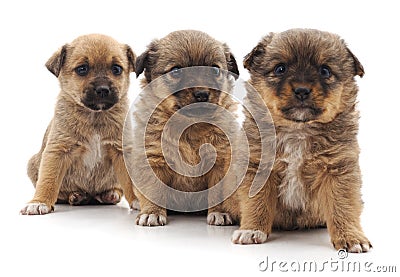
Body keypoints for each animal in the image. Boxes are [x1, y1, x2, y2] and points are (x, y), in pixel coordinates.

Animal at [20, 33, 138, 213]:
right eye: (82, 69)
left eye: (116, 69)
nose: (103, 90)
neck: (95, 116)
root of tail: (91, 196)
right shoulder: (58, 151)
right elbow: (48, 180)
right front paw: (39, 202)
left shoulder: (121, 150)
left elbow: (130, 181)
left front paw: (139, 200)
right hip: (33, 164)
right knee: (62, 192)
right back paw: (75, 195)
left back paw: (109, 194)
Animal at [130, 29, 241, 224]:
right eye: (176, 70)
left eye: (215, 69)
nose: (202, 94)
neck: (189, 127)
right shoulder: (153, 160)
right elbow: (153, 190)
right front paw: (152, 212)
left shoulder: (220, 163)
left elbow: (217, 193)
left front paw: (220, 212)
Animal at [231, 28, 372, 252]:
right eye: (280, 68)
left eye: (325, 71)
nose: (302, 90)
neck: (298, 130)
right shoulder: (259, 168)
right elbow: (257, 203)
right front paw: (252, 229)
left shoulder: (339, 170)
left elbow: (343, 206)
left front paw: (351, 237)